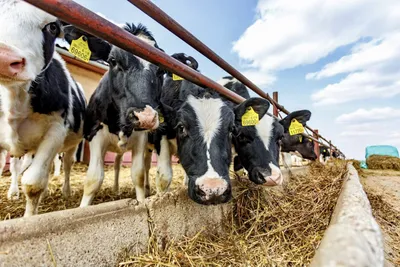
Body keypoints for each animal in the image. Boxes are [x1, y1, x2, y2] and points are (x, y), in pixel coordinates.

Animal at [0, 0, 86, 218]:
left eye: (52, 27)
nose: (3, 57)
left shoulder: (55, 131)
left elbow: (34, 183)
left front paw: (29, 218)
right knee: (17, 167)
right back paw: (15, 192)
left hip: (71, 144)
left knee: (66, 165)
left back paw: (65, 191)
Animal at [79, 23, 164, 207]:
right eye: (113, 61)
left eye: (162, 71)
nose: (146, 117)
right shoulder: (95, 134)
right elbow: (93, 179)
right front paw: (82, 208)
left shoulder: (141, 139)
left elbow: (138, 174)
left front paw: (141, 201)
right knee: (117, 164)